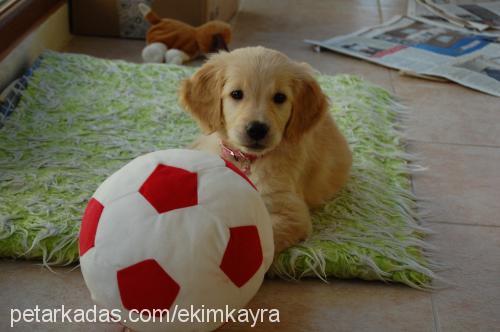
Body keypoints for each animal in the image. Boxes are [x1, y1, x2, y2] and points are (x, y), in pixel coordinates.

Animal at [180, 46, 352, 253]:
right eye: (236, 94)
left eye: (280, 97)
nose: (257, 129)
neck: (246, 160)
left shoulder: (292, 213)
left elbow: (263, 239)